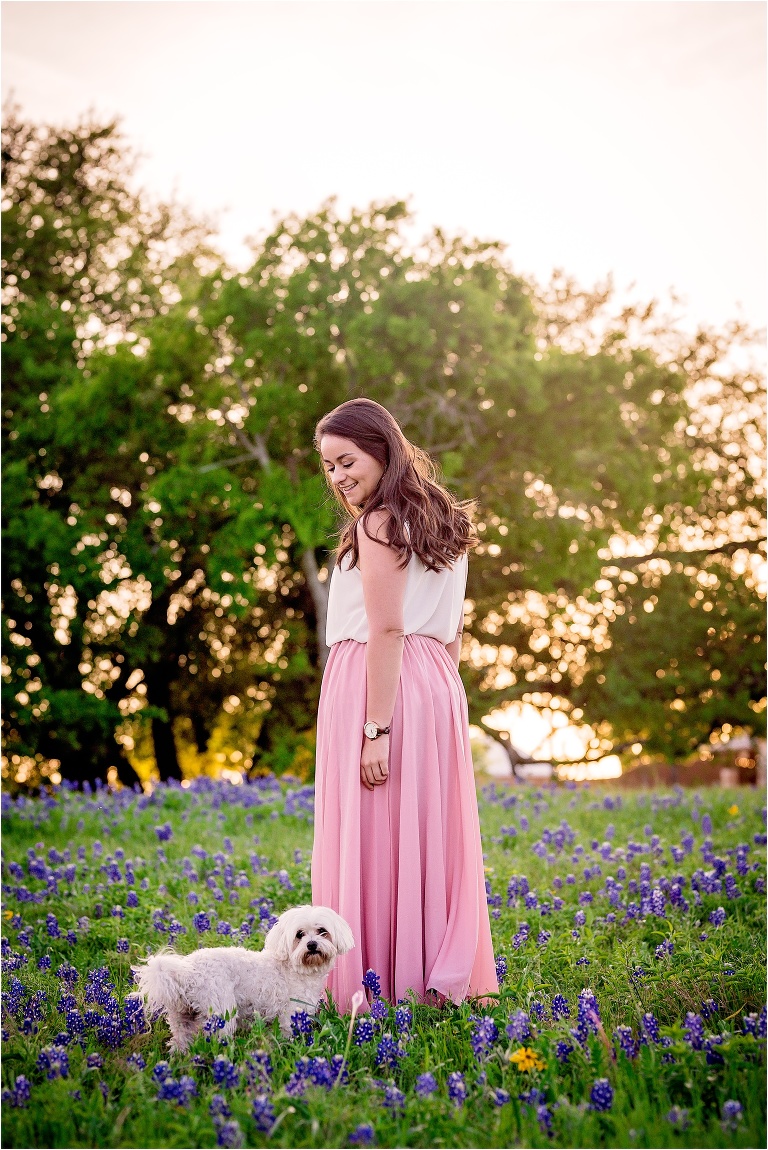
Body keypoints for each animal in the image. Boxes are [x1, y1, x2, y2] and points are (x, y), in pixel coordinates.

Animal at [134, 901, 354, 1053]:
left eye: (322, 931)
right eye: (299, 934)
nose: (311, 945)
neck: (294, 968)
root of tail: (187, 973)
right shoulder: (290, 1014)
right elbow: (287, 1036)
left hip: (182, 1017)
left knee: (180, 1041)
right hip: (220, 1011)